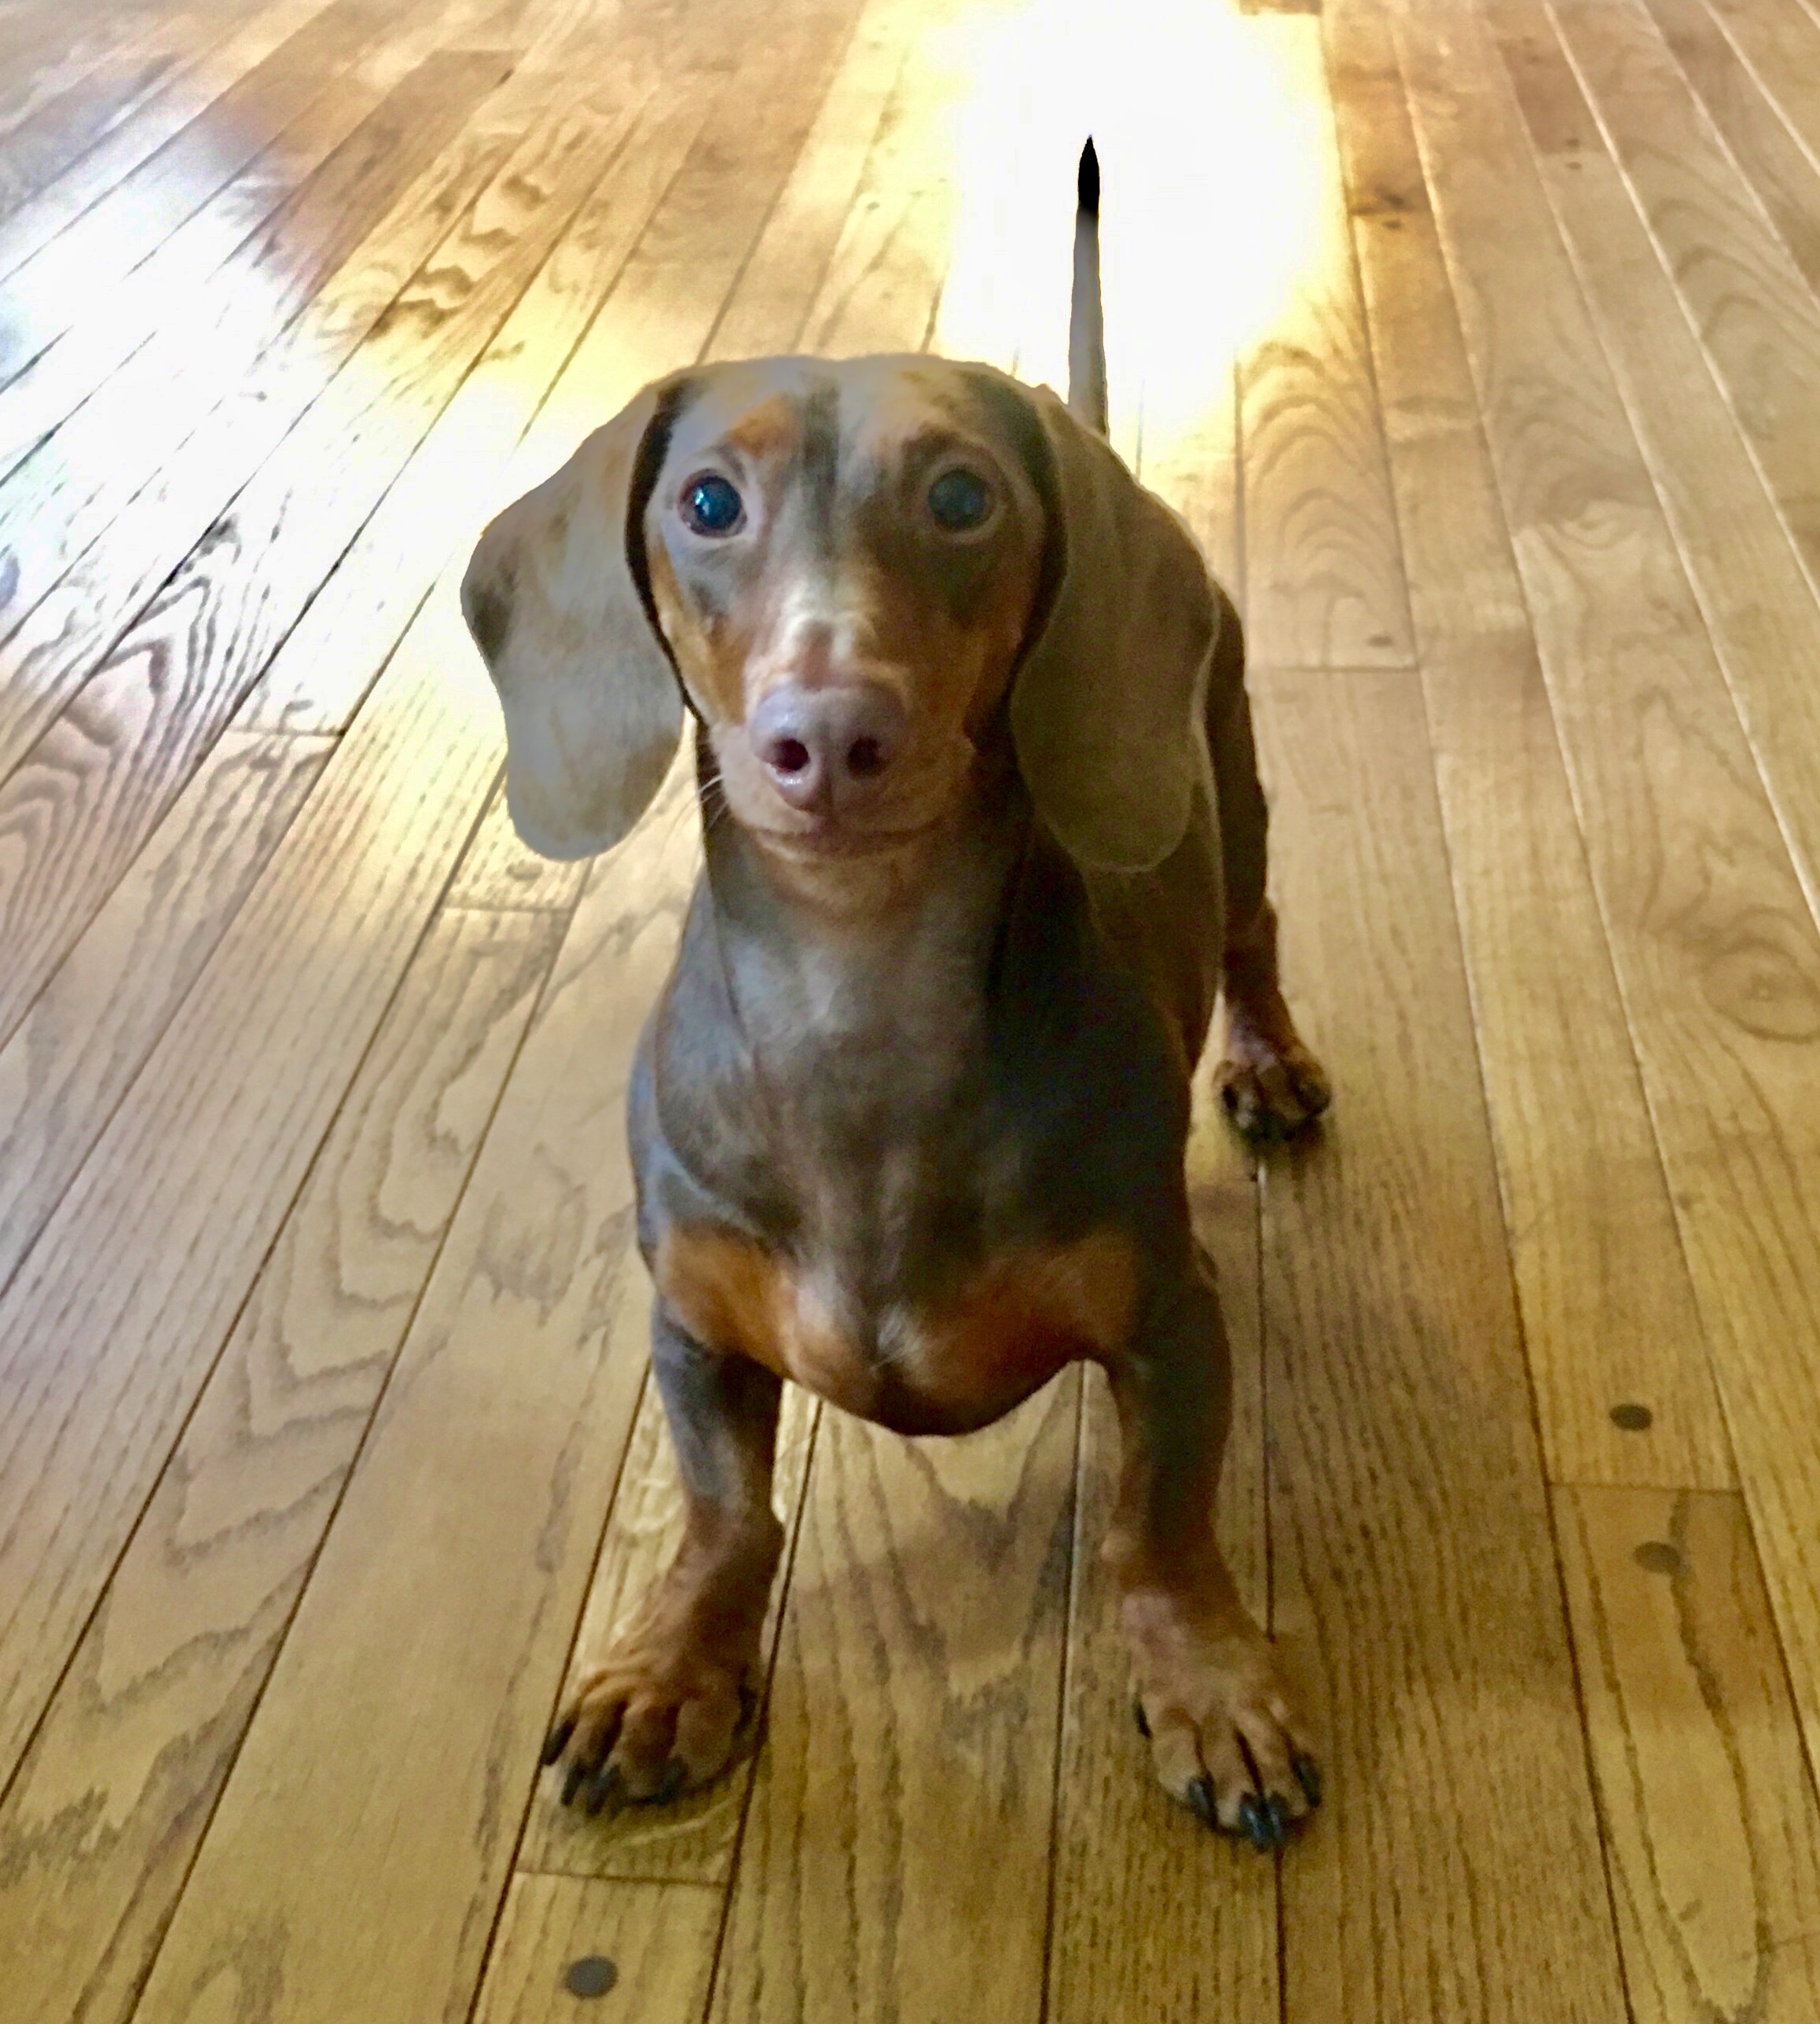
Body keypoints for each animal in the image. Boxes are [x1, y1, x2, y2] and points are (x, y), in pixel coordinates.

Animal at [461, 142, 1331, 1851]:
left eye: (960, 497)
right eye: (706, 503)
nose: (828, 737)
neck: (853, 991)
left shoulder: (1172, 1320)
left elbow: (1158, 1530)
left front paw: (1211, 1686)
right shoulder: (690, 1329)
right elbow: (725, 1518)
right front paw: (671, 1668)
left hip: (1238, 770)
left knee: (1254, 930)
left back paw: (1268, 1061)